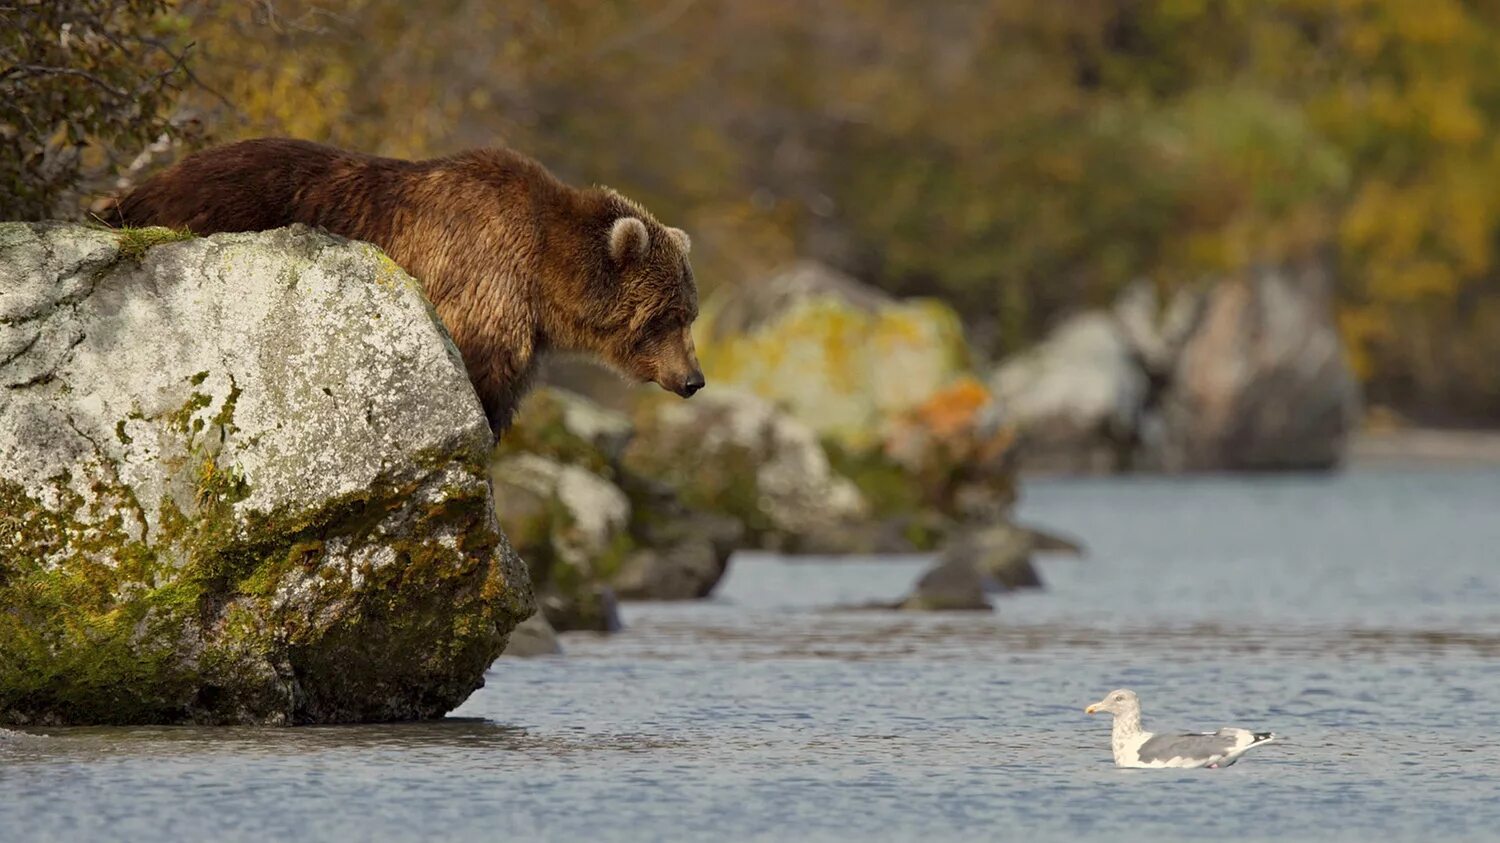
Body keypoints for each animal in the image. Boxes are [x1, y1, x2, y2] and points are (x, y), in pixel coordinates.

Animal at [105, 138, 702, 432]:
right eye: (668, 315)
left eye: (688, 313)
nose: (694, 379)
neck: (545, 278)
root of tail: (139, 190)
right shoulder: (481, 280)